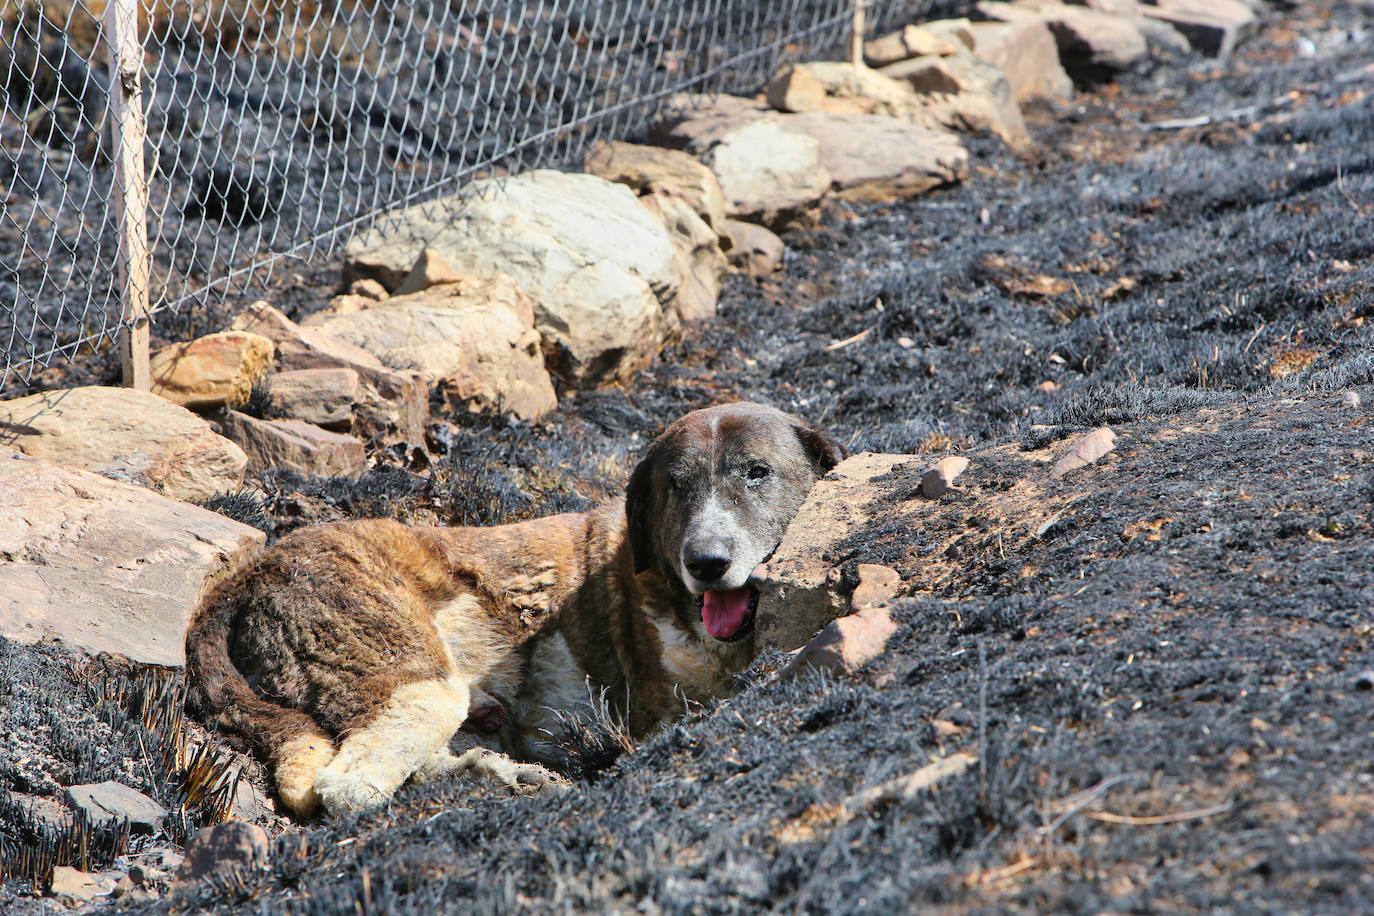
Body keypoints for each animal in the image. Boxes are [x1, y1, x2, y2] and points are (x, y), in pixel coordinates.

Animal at [182, 401, 846, 818]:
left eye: (757, 473)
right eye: (676, 487)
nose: (705, 561)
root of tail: (241, 577)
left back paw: (503, 773)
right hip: (413, 677)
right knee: (346, 787)